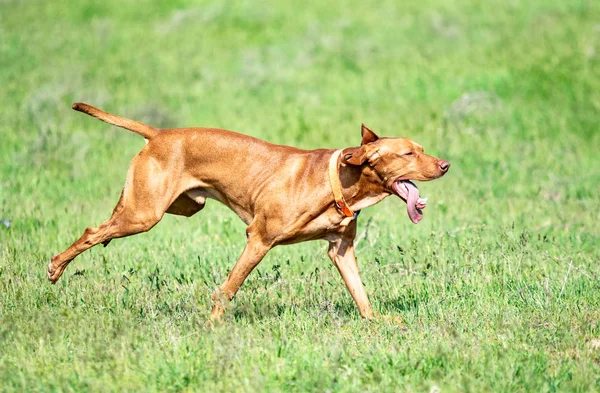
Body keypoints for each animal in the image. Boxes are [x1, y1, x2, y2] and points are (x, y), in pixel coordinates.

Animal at [49, 103, 448, 318]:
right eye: (408, 154)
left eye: (421, 149)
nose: (445, 165)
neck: (338, 180)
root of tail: (159, 133)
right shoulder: (258, 238)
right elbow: (228, 288)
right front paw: (211, 327)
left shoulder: (341, 250)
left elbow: (361, 296)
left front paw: (381, 323)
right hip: (143, 214)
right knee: (92, 232)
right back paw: (55, 267)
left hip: (180, 206)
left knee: (105, 227)